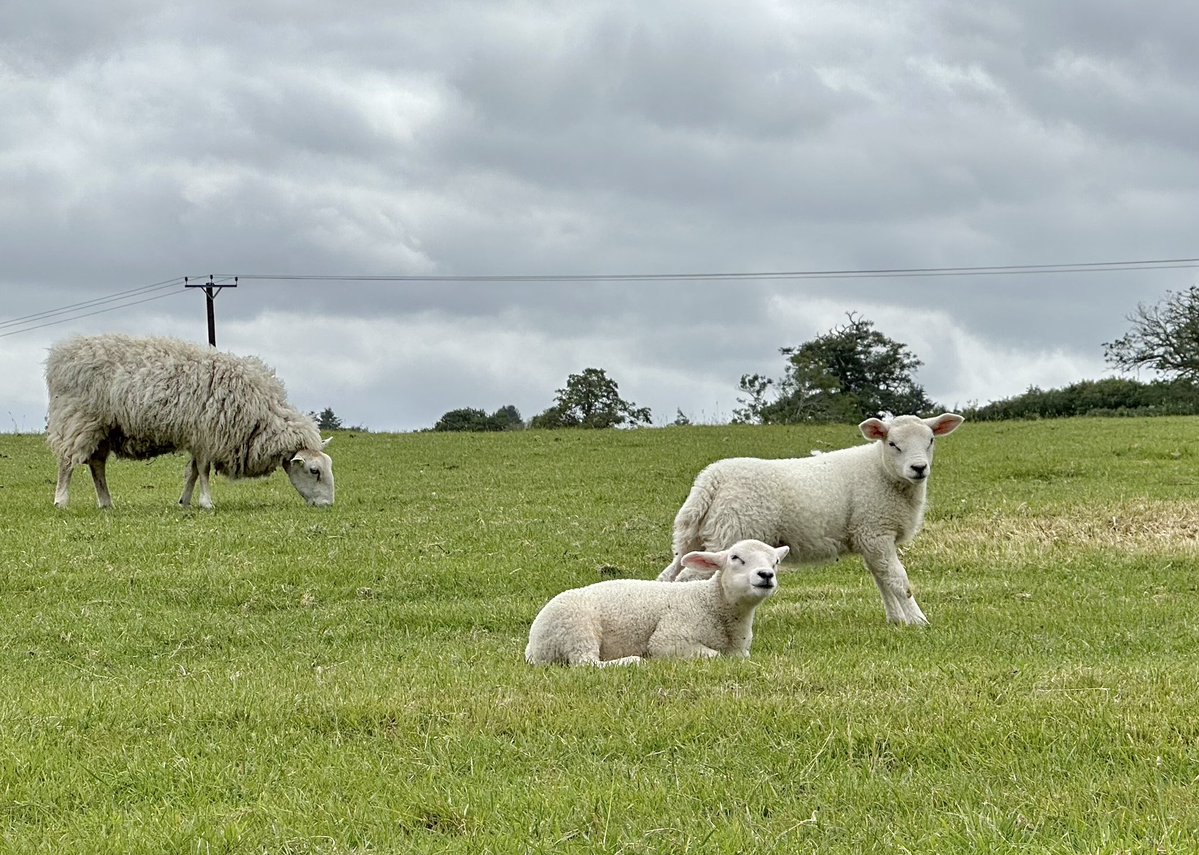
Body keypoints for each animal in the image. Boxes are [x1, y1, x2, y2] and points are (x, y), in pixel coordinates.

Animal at [46, 333, 334, 509]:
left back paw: (106, 502)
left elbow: (194, 471)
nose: (328, 505)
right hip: (78, 419)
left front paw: (184, 501)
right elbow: (203, 470)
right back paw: (61, 500)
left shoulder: (198, 437)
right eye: (314, 471)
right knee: (67, 461)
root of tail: (60, 355)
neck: (260, 415)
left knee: (96, 465)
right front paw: (207, 503)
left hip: (105, 428)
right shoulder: (207, 433)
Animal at [525, 539, 788, 667]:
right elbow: (713, 656)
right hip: (577, 628)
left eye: (775, 562)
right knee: (585, 664)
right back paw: (631, 661)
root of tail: (534, 646)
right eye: (735, 558)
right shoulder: (669, 638)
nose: (766, 575)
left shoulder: (740, 651)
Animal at [656, 413, 964, 626]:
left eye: (931, 441)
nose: (919, 468)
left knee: (668, 575)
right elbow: (899, 580)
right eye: (893, 444)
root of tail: (711, 480)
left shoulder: (870, 536)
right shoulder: (875, 530)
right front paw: (918, 621)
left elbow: (882, 579)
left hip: (694, 536)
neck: (882, 471)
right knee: (688, 577)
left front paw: (897, 620)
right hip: (730, 532)